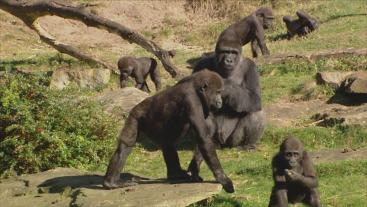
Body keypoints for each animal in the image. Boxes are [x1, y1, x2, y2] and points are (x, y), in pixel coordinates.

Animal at [103, 70, 236, 193]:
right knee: (127, 144)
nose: (220, 102)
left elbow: (206, 135)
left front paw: (194, 170)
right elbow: (203, 137)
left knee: (164, 144)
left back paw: (175, 174)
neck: (197, 90)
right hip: (136, 115)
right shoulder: (192, 101)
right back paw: (111, 182)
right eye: (217, 92)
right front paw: (223, 179)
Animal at [190, 34, 268, 184]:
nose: (229, 60)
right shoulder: (201, 65)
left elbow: (255, 97)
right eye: (225, 51)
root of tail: (222, 145)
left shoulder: (251, 67)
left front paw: (227, 87)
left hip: (233, 141)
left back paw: (248, 145)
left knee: (256, 112)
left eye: (233, 52)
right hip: (216, 141)